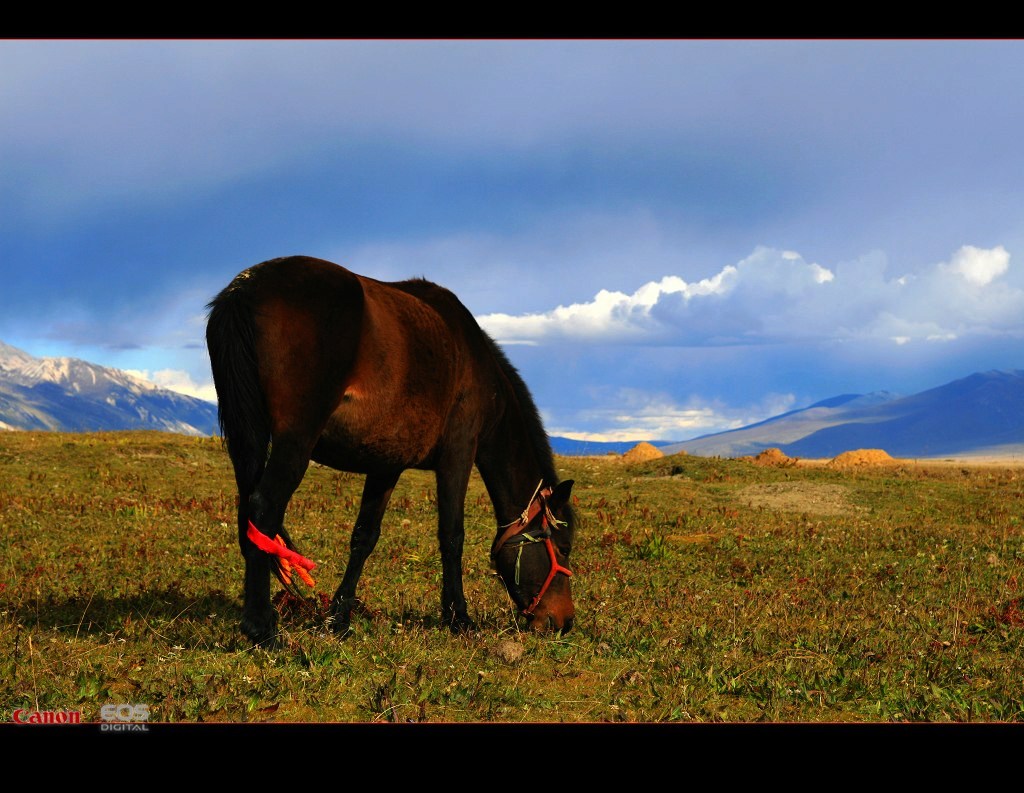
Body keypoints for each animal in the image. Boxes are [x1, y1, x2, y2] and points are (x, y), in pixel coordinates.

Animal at [204, 258, 581, 647]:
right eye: (564, 548)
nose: (563, 621)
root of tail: (246, 286)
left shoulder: (386, 465)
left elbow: (364, 537)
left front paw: (338, 618)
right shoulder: (458, 456)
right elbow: (452, 536)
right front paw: (458, 617)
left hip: (248, 436)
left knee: (248, 512)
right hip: (295, 440)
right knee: (264, 507)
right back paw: (262, 627)